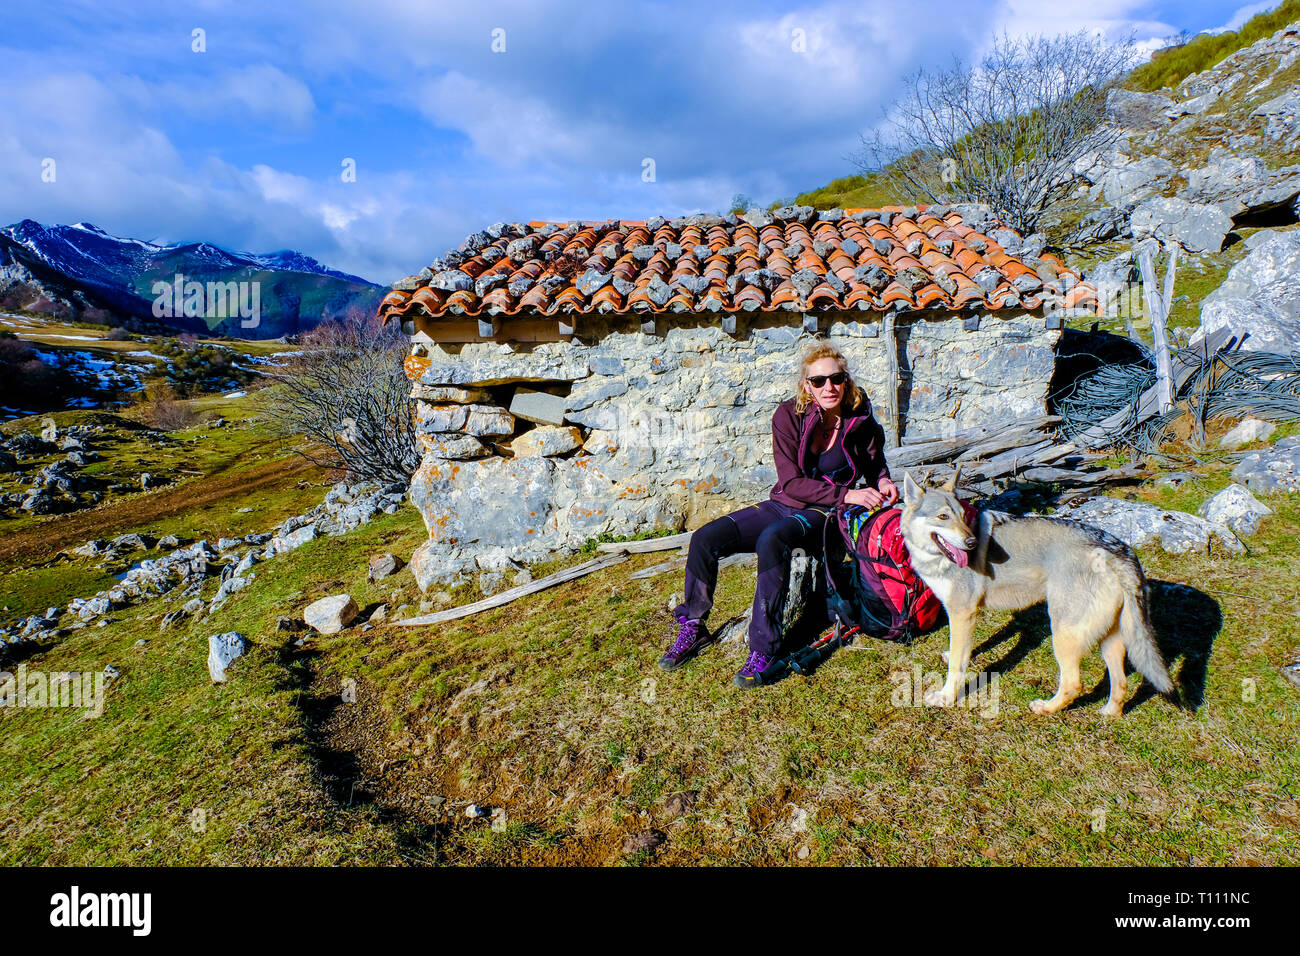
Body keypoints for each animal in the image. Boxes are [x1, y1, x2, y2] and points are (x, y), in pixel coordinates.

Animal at [899, 470, 1175, 717]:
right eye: (943, 516)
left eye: (962, 517)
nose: (971, 543)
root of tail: (1118, 551)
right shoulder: (968, 615)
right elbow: (966, 649)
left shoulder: (962, 613)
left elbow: (958, 664)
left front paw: (946, 698)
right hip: (1109, 641)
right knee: (1120, 682)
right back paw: (1109, 713)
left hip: (1063, 634)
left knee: (1073, 684)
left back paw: (1045, 708)